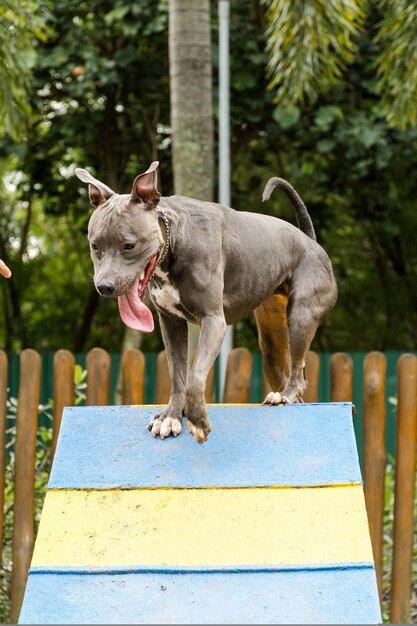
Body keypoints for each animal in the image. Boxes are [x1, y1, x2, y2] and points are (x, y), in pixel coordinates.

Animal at [74, 163, 334, 442]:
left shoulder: (213, 321)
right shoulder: (171, 324)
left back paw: (285, 395)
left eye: (129, 245)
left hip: (300, 318)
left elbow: (194, 376)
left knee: (298, 374)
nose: (105, 286)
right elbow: (177, 375)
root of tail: (311, 242)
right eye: (95, 246)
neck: (173, 239)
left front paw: (197, 419)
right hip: (271, 343)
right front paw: (171, 416)